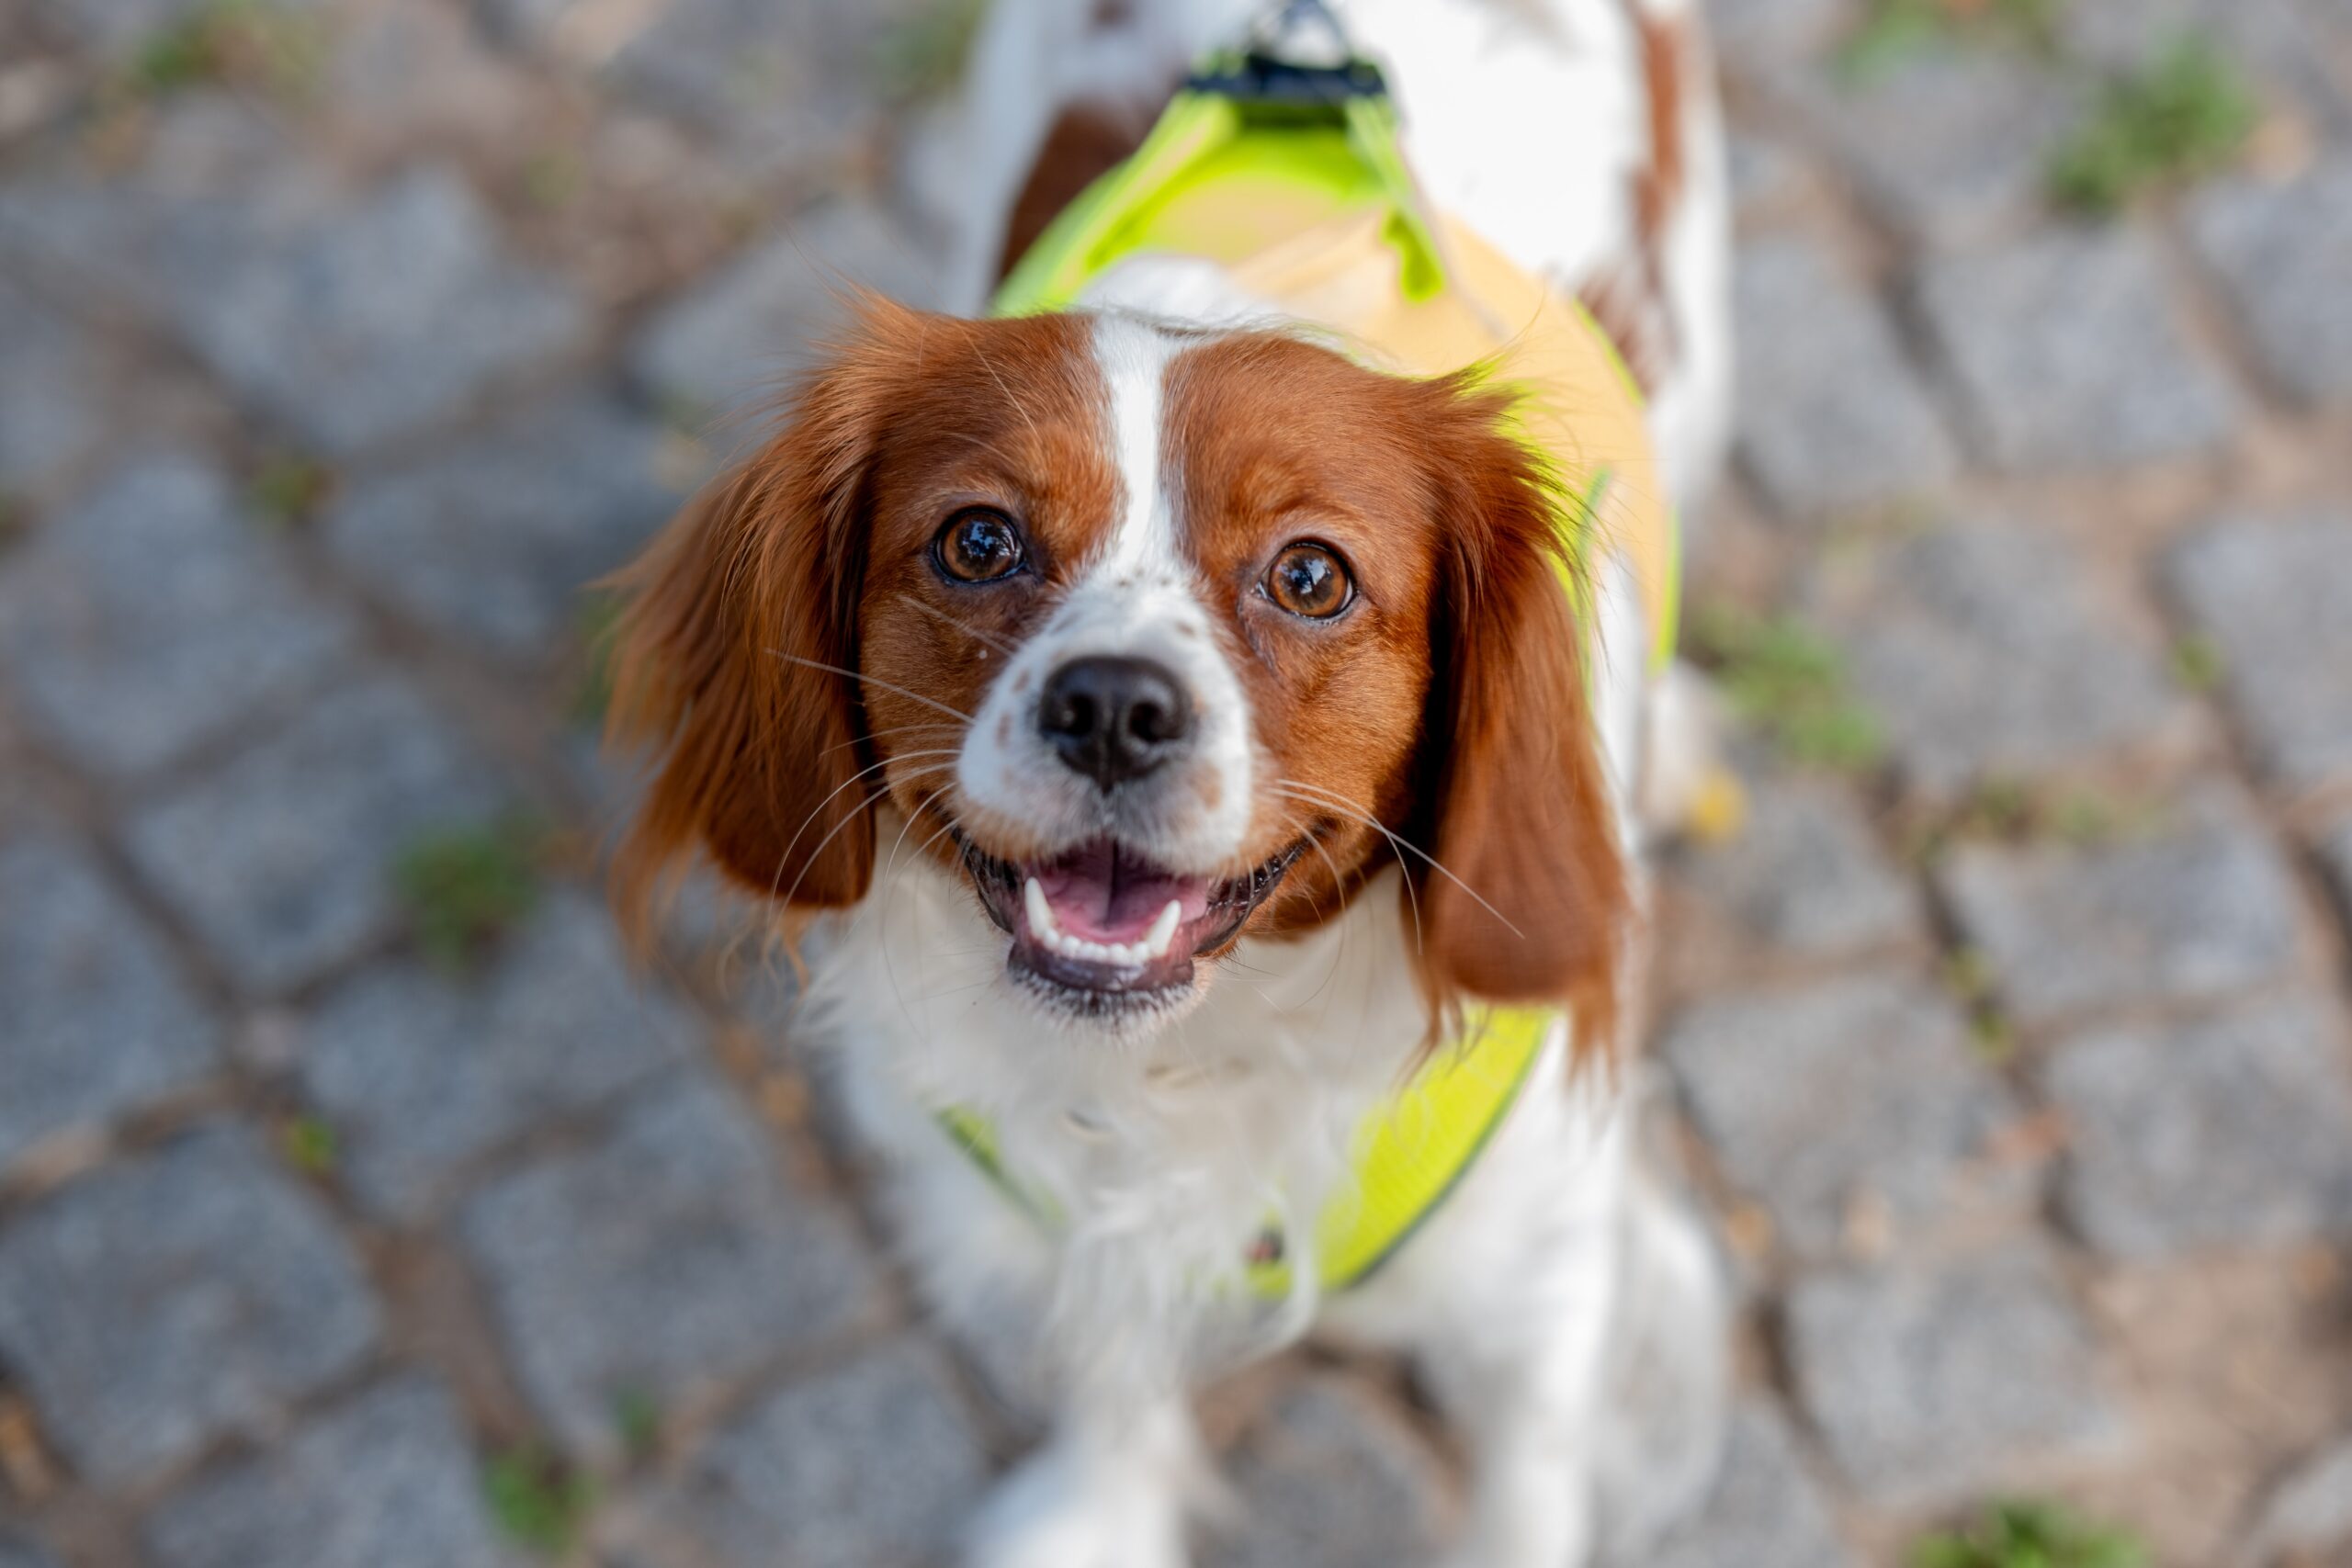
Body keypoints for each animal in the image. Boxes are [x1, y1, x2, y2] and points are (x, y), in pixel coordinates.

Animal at [611, 3, 1749, 1568]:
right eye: (978, 541)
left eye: (1311, 575)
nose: (1112, 706)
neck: (1199, 1054)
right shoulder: (1065, 1199)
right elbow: (1112, 1363)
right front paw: (1096, 1512)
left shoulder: (1540, 1270)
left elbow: (1524, 1487)